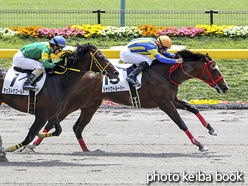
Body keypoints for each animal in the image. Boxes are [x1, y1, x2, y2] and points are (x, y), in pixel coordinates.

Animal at [30, 49, 229, 153]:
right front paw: (200, 144)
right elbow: (181, 123)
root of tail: (83, 73)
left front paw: (211, 129)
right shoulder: (164, 103)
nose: (225, 87)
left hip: (91, 105)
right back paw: (33, 144)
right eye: (214, 68)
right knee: (53, 120)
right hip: (74, 103)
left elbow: (193, 109)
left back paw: (86, 150)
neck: (167, 73)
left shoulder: (173, 98)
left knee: (77, 127)